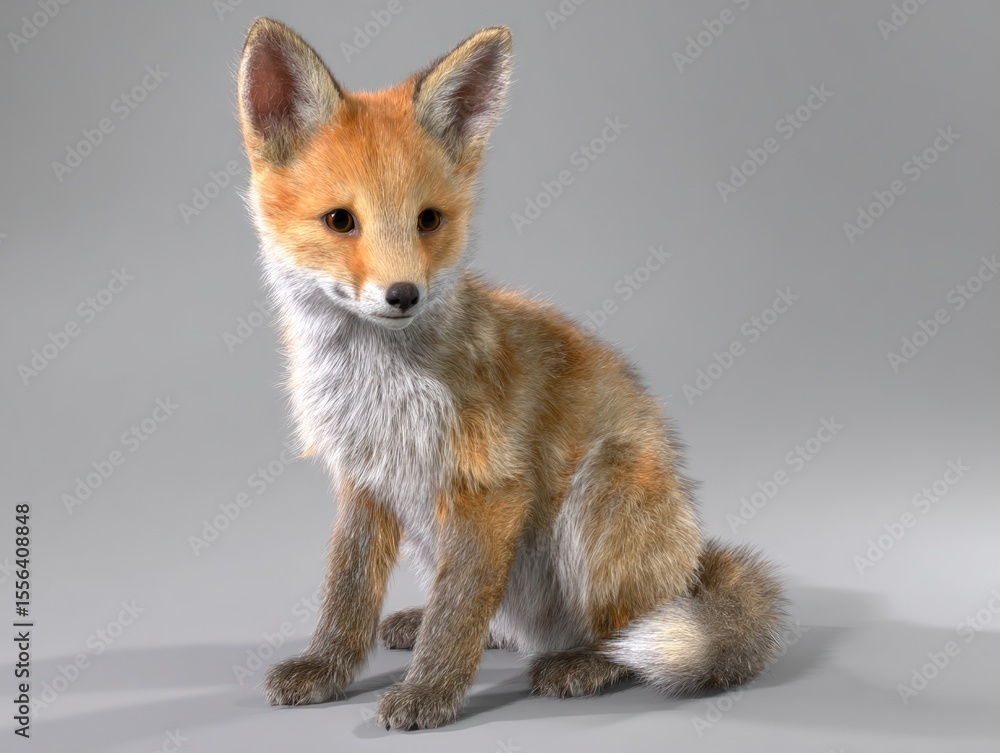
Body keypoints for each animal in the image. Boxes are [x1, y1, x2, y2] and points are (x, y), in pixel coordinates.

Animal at [237, 18, 787, 730]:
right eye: (340, 221)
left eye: (429, 220)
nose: (403, 295)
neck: (379, 385)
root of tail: (691, 569)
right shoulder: (366, 479)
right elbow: (347, 594)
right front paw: (327, 668)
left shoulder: (492, 486)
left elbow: (457, 611)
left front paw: (429, 693)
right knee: (506, 618)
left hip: (602, 492)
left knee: (621, 633)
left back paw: (584, 663)